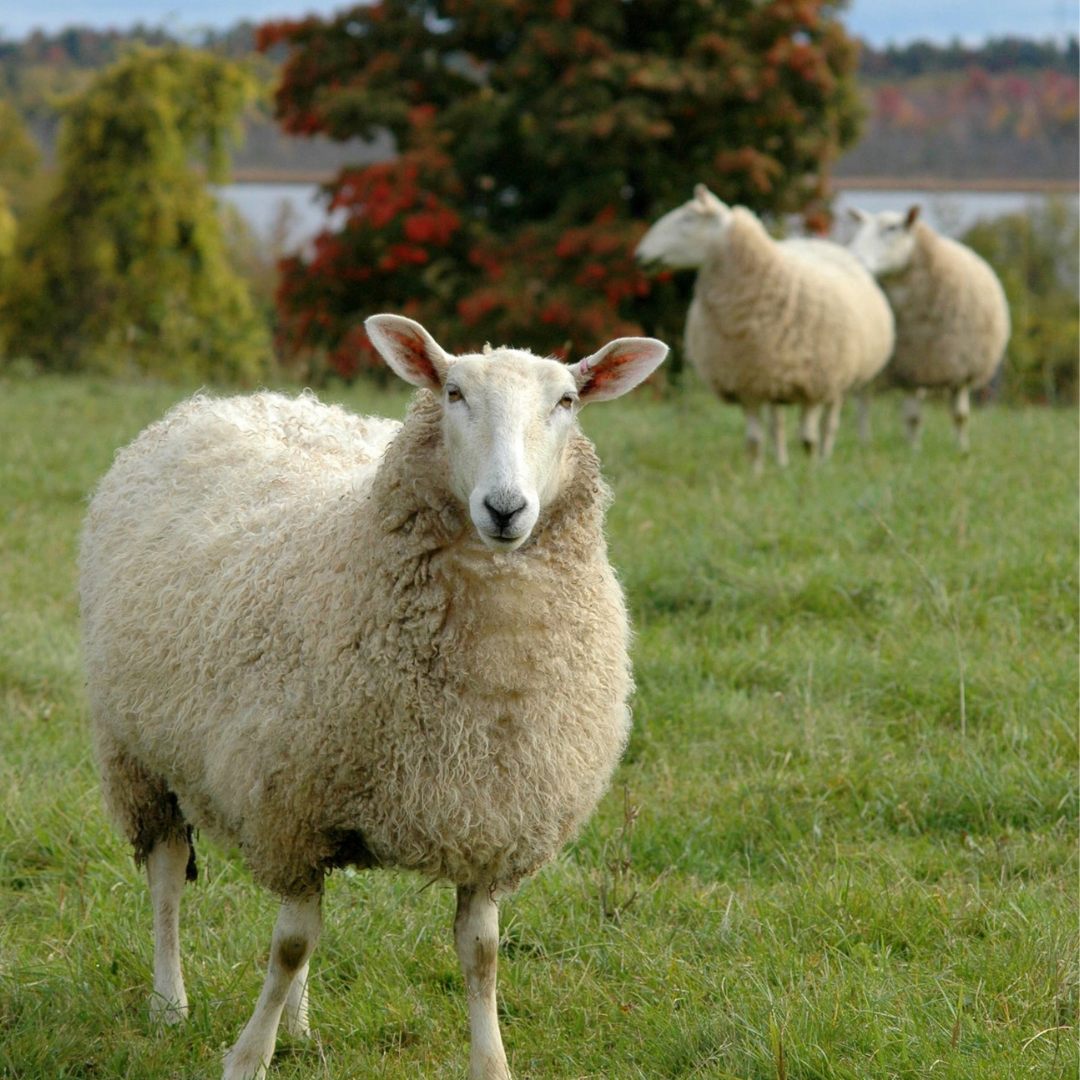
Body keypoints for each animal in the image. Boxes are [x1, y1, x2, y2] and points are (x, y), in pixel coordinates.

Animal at [78, 314, 669, 1080]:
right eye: (453, 393)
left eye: (567, 401)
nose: (505, 508)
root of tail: (240, 400)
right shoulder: (292, 811)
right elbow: (289, 945)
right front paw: (248, 1056)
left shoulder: (488, 821)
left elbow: (480, 956)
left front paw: (491, 1063)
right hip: (137, 753)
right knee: (168, 877)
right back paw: (169, 1002)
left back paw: (298, 1025)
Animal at [635, 185, 895, 472]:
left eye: (688, 219)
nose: (639, 255)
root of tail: (816, 242)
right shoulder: (747, 383)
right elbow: (754, 441)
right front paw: (756, 475)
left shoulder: (816, 384)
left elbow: (808, 439)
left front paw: (811, 472)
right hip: (772, 377)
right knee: (776, 425)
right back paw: (781, 464)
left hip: (838, 379)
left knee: (828, 425)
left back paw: (824, 461)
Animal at [847, 206, 1011, 452]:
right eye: (859, 228)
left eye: (892, 228)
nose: (855, 258)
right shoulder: (910, 366)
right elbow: (913, 417)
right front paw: (915, 451)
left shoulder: (961, 368)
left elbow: (960, 416)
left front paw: (962, 450)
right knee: (863, 404)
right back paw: (865, 443)